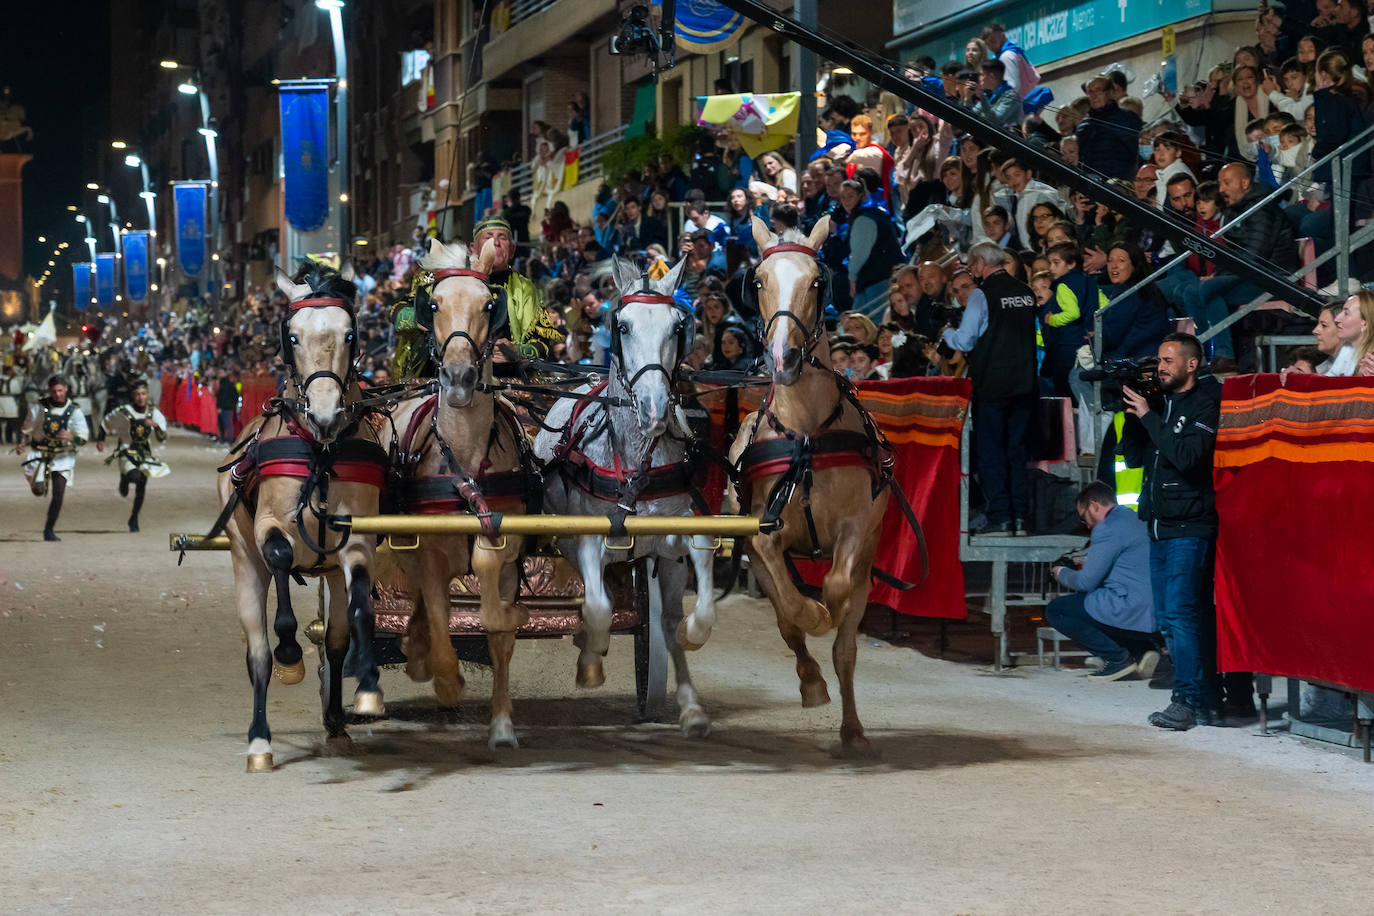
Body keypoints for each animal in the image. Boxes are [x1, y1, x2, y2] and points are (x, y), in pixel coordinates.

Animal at [211, 265, 390, 774]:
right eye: (292, 337)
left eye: (350, 335)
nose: (326, 413)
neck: (320, 452)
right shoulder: (269, 526)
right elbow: (279, 556)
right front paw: (291, 651)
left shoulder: (356, 541)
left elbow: (361, 608)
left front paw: (368, 688)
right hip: (242, 560)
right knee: (257, 653)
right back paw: (259, 741)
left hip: (329, 572)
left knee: (336, 639)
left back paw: (336, 723)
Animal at [390, 238, 533, 752]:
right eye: (432, 304)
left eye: (490, 305)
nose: (457, 378)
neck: (466, 458)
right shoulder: (430, 551)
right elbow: (439, 616)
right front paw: (446, 679)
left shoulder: (507, 535)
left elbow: (495, 618)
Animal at [530, 256, 714, 736]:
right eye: (624, 326)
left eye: (677, 326)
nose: (653, 407)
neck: (634, 461)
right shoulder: (587, 542)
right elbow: (598, 608)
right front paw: (589, 661)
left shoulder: (674, 535)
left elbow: (696, 590)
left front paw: (694, 633)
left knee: (665, 621)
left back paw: (691, 706)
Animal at [730, 218, 923, 758]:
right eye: (758, 281)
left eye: (817, 281)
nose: (784, 357)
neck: (807, 435)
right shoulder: (760, 535)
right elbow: (790, 610)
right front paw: (813, 621)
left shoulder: (857, 529)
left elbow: (838, 593)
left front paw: (829, 611)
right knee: (785, 619)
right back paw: (812, 679)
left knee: (846, 643)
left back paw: (852, 726)